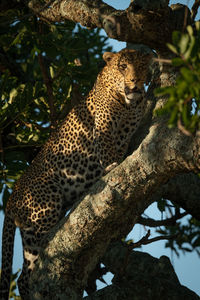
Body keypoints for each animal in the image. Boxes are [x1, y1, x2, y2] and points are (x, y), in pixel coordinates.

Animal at [0, 48, 152, 298]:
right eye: (123, 67)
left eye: (141, 66)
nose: (135, 82)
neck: (128, 105)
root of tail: (11, 199)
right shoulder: (103, 128)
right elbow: (107, 151)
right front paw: (111, 167)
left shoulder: (126, 132)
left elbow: (120, 148)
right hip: (46, 204)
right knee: (41, 255)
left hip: (30, 232)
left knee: (25, 275)